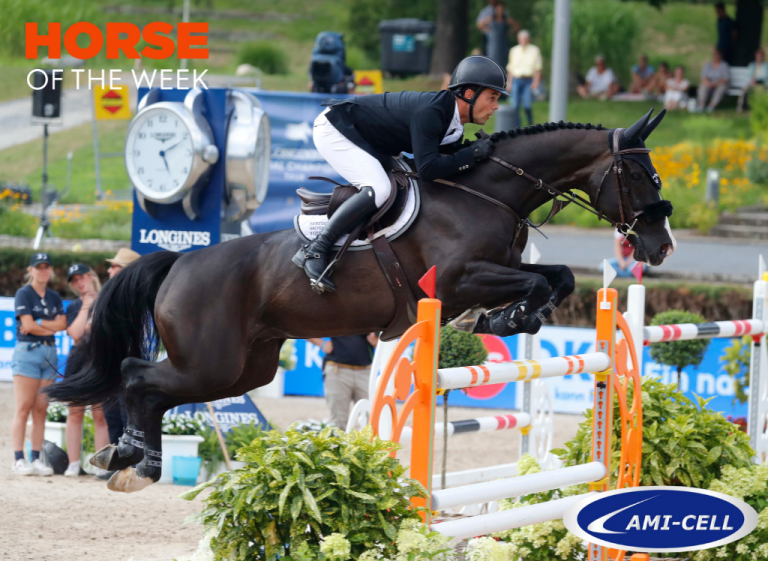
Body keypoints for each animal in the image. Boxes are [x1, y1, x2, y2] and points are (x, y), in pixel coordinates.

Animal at [46, 109, 676, 493]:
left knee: (152, 387)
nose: (661, 245)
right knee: (137, 375)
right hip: (212, 361)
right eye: (638, 175)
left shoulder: (497, 271)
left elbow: (558, 278)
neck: (488, 193)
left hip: (244, 368)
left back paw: (131, 462)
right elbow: (541, 283)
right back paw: (127, 460)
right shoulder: (456, 281)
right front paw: (512, 313)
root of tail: (180, 262)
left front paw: (513, 318)